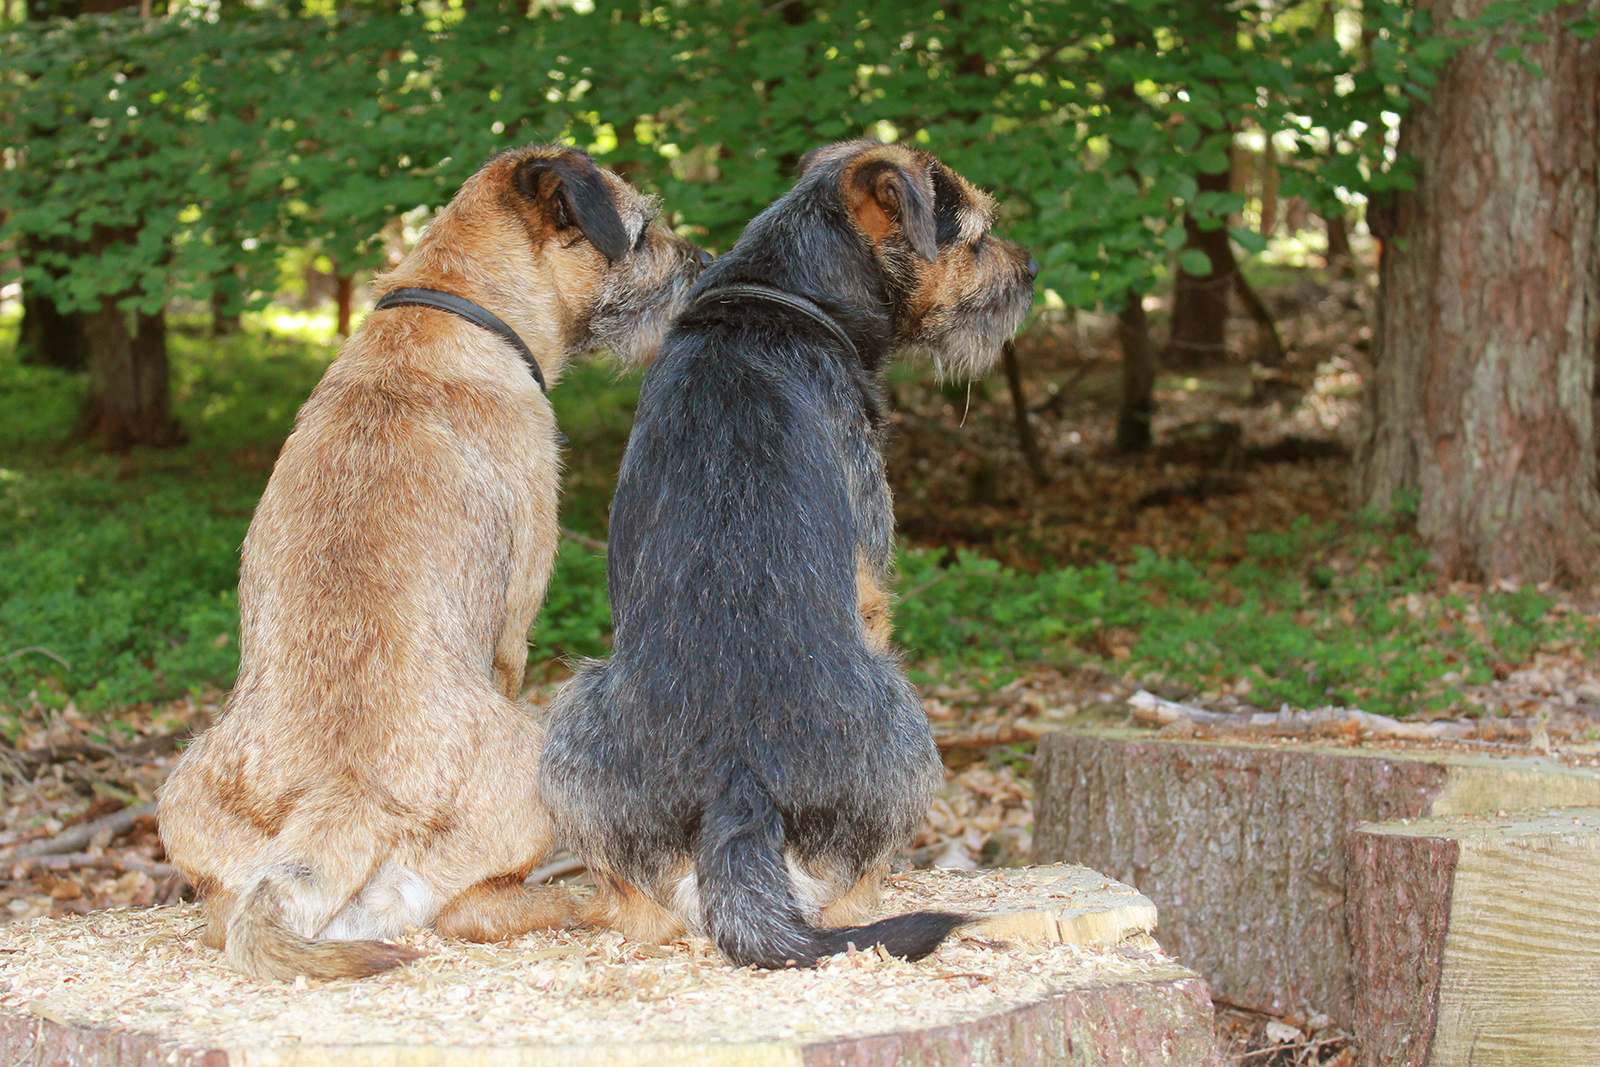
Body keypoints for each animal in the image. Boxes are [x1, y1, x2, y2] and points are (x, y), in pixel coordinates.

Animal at [157, 146, 707, 979]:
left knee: (226, 914)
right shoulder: (516, 614)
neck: (451, 302)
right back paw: (577, 904)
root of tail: (343, 793)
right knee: (471, 909)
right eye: (642, 234)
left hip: (182, 787)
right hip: (536, 750)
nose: (708, 265)